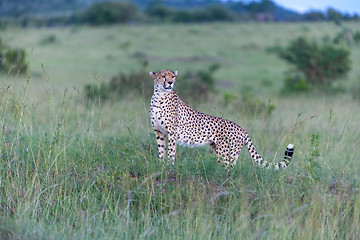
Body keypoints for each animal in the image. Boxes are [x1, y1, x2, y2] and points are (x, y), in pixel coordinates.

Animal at [149, 70, 292, 171]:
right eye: (163, 76)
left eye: (173, 76)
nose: (170, 83)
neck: (159, 95)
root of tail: (242, 129)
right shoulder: (159, 132)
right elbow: (161, 150)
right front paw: (161, 166)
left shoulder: (172, 133)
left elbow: (171, 152)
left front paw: (169, 167)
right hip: (220, 150)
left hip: (227, 153)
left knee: (230, 169)